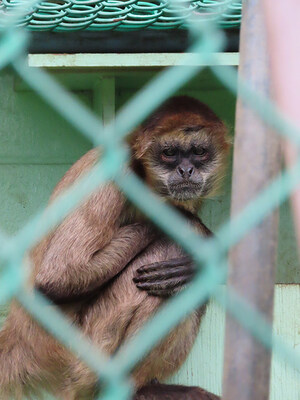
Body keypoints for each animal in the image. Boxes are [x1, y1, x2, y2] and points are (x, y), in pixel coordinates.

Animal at [0, 95, 227, 398]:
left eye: (200, 152)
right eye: (169, 153)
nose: (186, 170)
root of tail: (17, 340)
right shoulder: (117, 171)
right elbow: (56, 279)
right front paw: (194, 228)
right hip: (78, 354)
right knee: (171, 250)